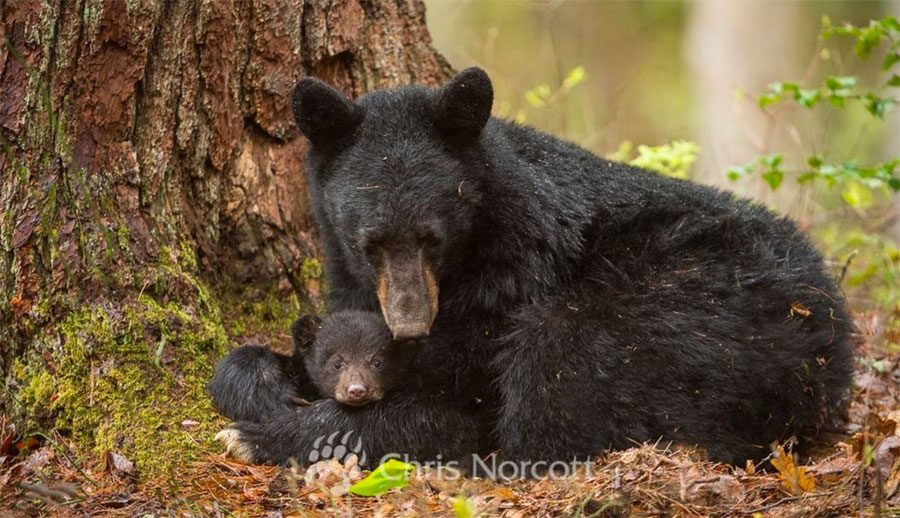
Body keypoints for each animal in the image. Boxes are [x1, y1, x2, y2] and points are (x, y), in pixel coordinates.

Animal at [214, 67, 853, 470]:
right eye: (370, 242)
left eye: (432, 239)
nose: (411, 325)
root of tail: (838, 345)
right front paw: (259, 380)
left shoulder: (510, 285)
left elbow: (452, 405)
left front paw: (261, 435)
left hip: (691, 316)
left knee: (559, 369)